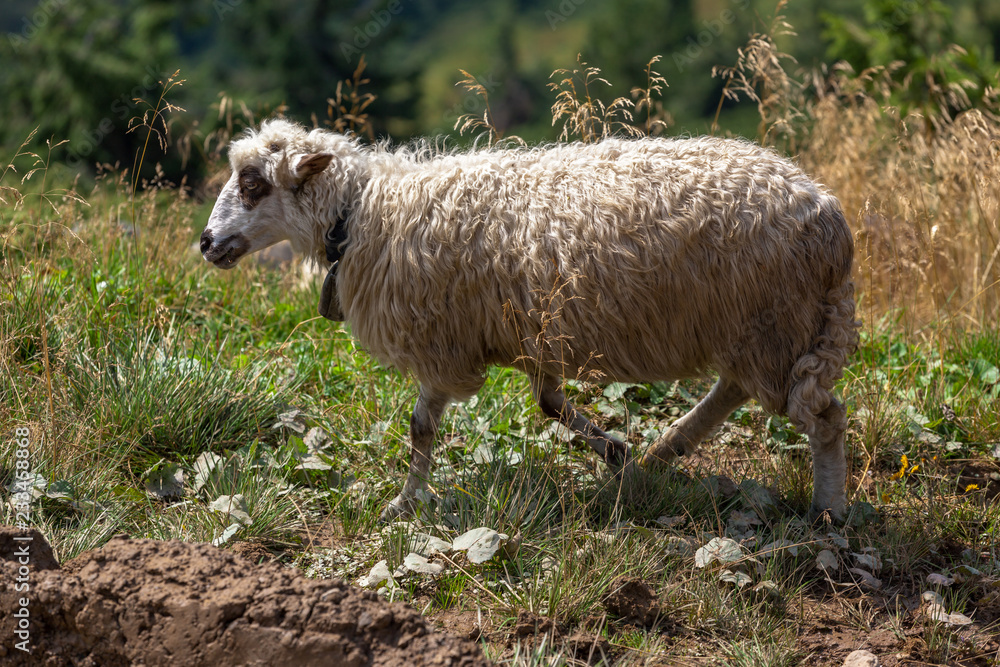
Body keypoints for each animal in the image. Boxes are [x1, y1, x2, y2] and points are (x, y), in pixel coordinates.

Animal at [200, 118, 860, 522]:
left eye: (253, 184)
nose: (206, 243)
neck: (365, 213)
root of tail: (830, 217)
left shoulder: (444, 347)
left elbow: (420, 428)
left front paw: (403, 504)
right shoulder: (533, 333)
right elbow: (548, 403)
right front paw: (613, 450)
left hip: (774, 323)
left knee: (823, 416)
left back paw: (828, 509)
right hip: (758, 327)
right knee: (735, 390)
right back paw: (664, 450)